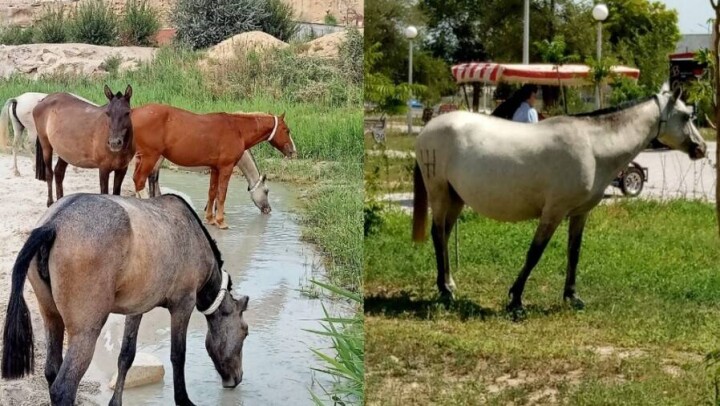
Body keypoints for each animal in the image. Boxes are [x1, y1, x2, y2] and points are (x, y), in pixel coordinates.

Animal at [1, 193, 249, 406]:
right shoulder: (183, 305)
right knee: (63, 388)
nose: (236, 378)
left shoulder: (136, 308)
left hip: (51, 317)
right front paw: (183, 399)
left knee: (52, 370)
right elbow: (178, 355)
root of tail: (53, 224)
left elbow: (126, 356)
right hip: (86, 331)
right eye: (245, 331)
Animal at [131, 104, 296, 229]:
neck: (238, 130)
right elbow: (221, 194)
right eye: (287, 130)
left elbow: (212, 192)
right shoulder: (226, 168)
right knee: (141, 180)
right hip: (150, 157)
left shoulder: (215, 169)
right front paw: (221, 221)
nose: (293, 151)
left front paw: (210, 218)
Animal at [412, 85, 707, 312]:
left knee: (445, 234)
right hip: (439, 193)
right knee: (438, 234)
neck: (593, 146)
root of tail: (429, 127)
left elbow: (573, 252)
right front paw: (516, 299)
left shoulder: (580, 213)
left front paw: (572, 296)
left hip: (456, 198)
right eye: (685, 116)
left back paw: (448, 284)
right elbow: (535, 252)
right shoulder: (553, 212)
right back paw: (445, 291)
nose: (701, 148)